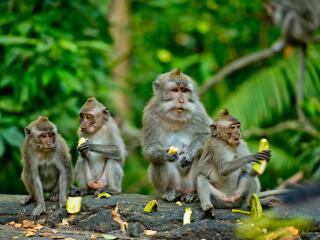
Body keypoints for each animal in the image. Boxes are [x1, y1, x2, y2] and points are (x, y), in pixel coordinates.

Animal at [142, 68, 212, 202]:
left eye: (184, 90)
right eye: (175, 90)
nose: (181, 101)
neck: (174, 118)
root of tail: (184, 189)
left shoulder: (199, 110)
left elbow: (209, 135)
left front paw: (190, 152)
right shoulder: (149, 115)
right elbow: (150, 147)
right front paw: (165, 154)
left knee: (202, 154)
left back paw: (194, 194)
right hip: (176, 183)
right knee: (157, 162)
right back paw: (169, 192)